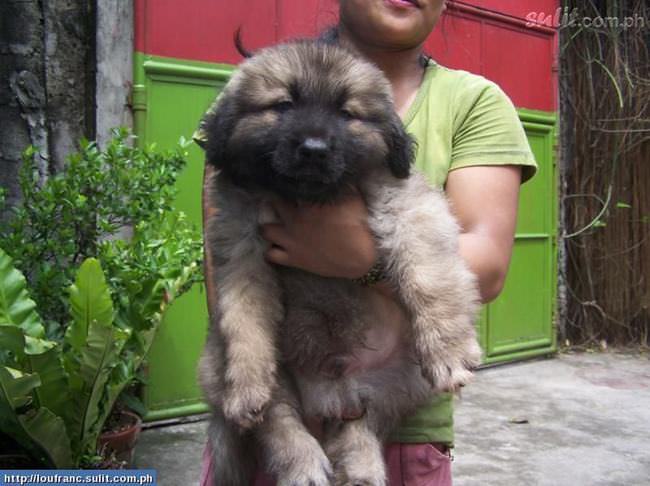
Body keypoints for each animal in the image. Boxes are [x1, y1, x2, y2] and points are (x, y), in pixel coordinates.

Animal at [199, 39, 480, 486]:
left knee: (359, 424)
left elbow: (428, 276)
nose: (314, 149)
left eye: (347, 113)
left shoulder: (409, 206)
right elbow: (244, 323)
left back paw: (361, 470)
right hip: (232, 363)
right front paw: (245, 386)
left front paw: (447, 349)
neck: (312, 199)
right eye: (283, 105)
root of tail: (330, 396)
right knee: (279, 418)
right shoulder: (240, 250)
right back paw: (304, 463)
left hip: (399, 382)